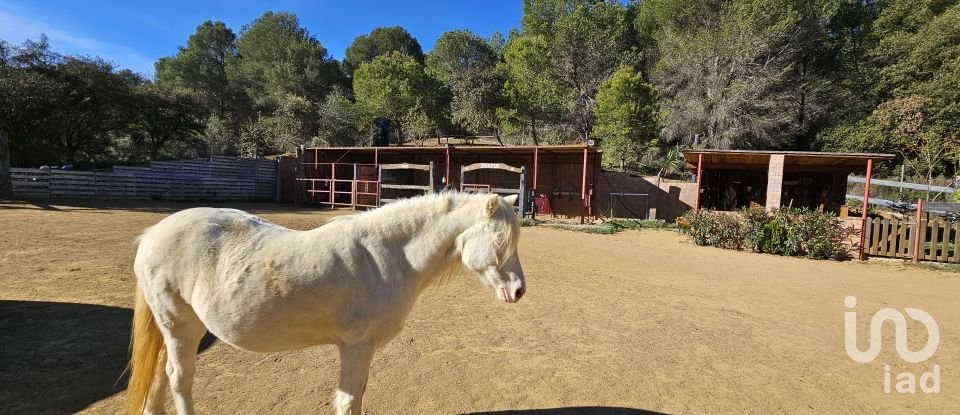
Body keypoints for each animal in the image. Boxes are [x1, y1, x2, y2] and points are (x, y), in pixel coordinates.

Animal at [127, 193, 524, 414]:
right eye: (499, 240)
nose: (519, 291)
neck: (386, 255)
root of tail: (152, 234)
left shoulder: (362, 349)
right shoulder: (356, 346)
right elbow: (349, 401)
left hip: (171, 330)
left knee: (160, 377)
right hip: (181, 328)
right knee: (179, 379)